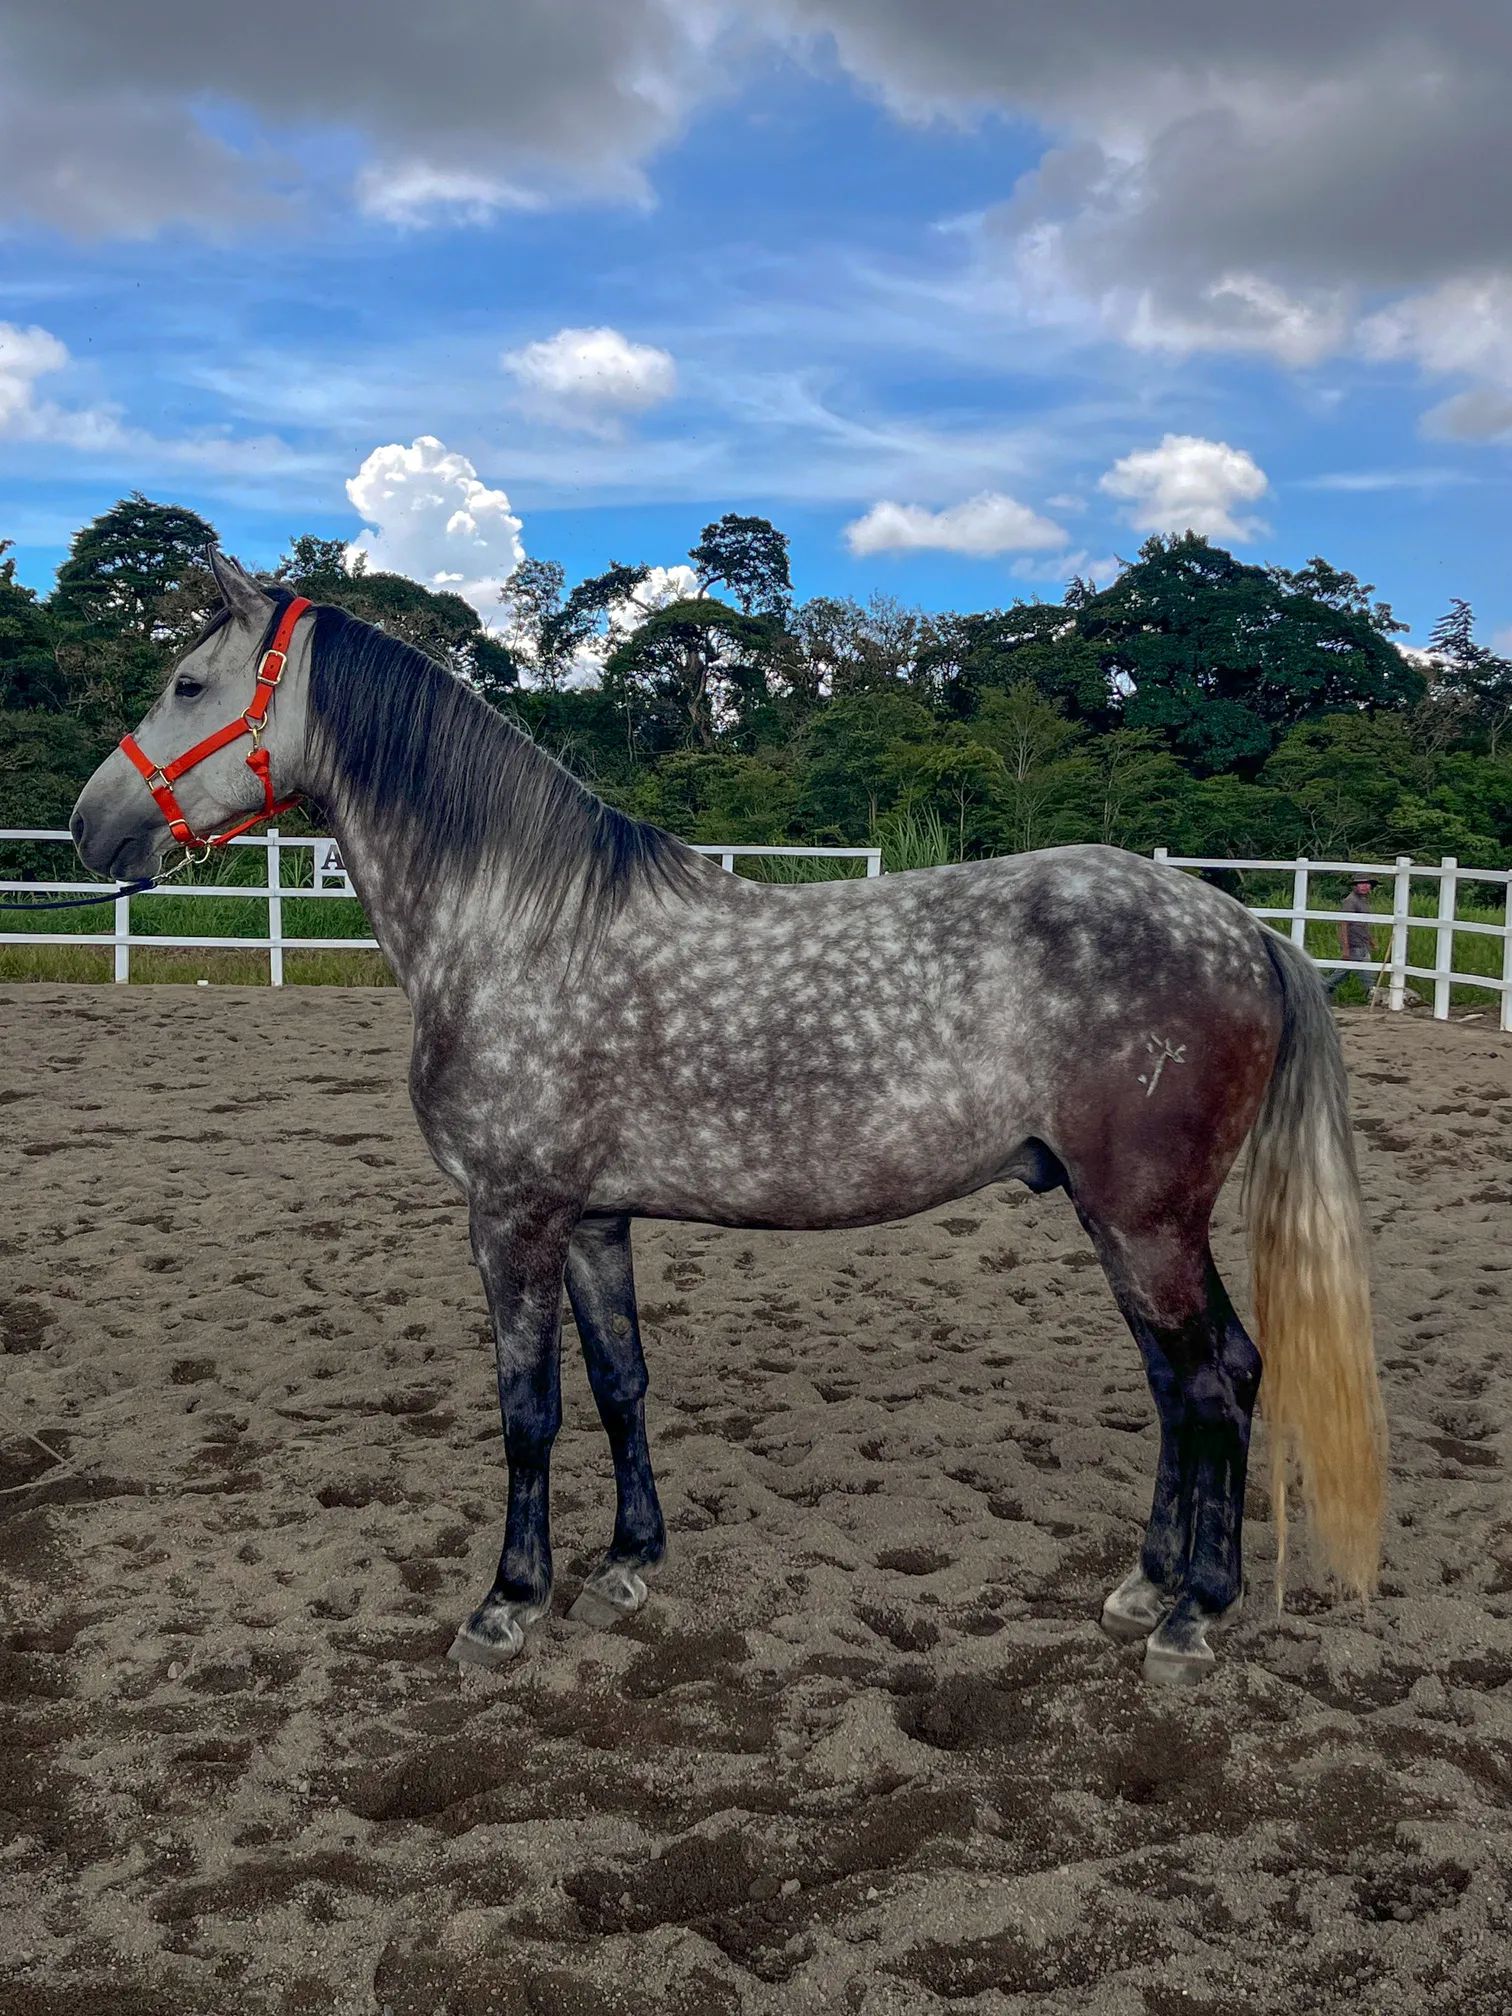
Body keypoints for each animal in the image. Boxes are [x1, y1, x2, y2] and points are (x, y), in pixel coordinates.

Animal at [69, 551, 1387, 1685]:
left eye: (189, 683)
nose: (91, 825)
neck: (515, 928)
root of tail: (1247, 927)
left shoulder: (513, 1217)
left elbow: (527, 1410)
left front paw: (507, 1604)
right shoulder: (593, 1220)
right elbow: (621, 1383)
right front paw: (626, 1567)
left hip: (1148, 1218)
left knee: (1214, 1383)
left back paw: (1192, 1617)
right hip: (1119, 1221)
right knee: (1185, 1384)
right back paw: (1143, 1586)